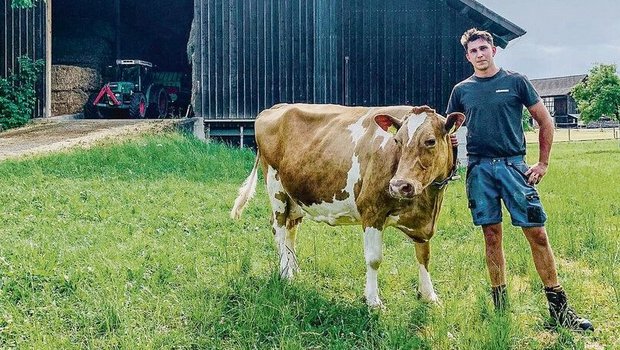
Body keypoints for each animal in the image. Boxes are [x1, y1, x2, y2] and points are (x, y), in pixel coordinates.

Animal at [230, 102, 462, 306]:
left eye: (430, 141)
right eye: (397, 141)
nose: (398, 185)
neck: (428, 202)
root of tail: (277, 107)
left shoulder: (423, 222)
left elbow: (424, 256)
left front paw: (429, 296)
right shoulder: (371, 211)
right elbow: (374, 259)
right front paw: (373, 301)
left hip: (294, 196)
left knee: (290, 229)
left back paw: (293, 269)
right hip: (274, 185)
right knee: (278, 228)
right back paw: (285, 273)